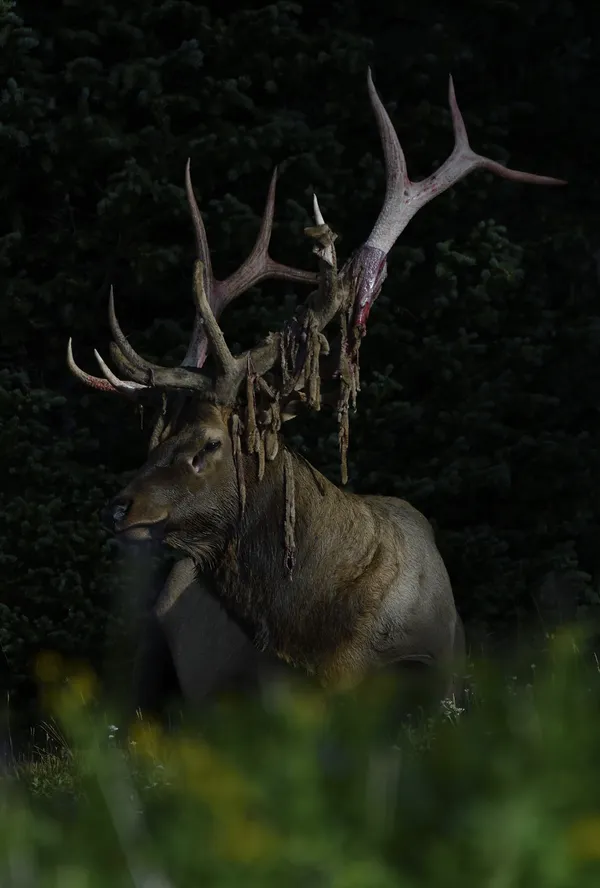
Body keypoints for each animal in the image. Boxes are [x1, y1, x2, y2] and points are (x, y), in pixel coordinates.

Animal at [68, 70, 565, 719]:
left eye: (208, 444)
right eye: (157, 440)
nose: (117, 508)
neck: (333, 639)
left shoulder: (446, 670)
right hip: (142, 650)